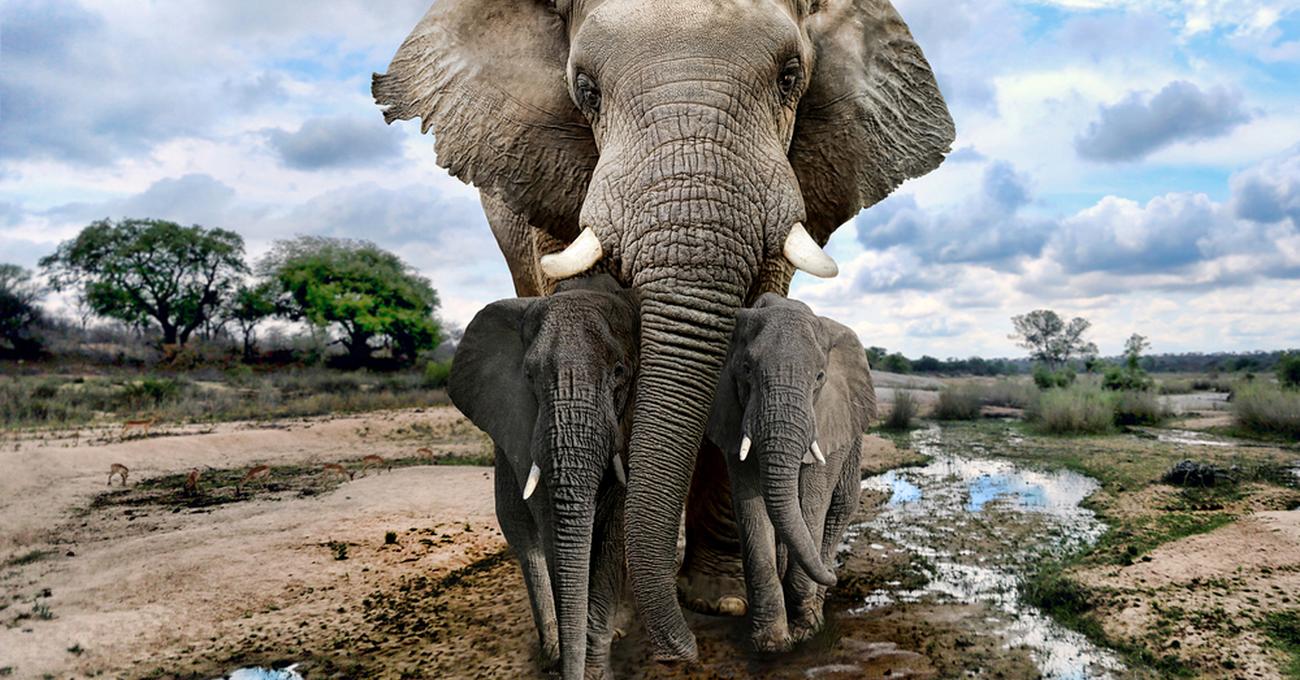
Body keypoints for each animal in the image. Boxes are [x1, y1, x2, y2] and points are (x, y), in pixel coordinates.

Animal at [448, 274, 637, 680]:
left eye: (619, 371)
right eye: (529, 375)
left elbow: (613, 524)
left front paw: (595, 667)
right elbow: (549, 520)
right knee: (522, 533)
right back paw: (551, 649)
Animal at [706, 293, 875, 651]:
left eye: (820, 377)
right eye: (746, 370)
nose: (836, 576)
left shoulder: (827, 418)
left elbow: (812, 502)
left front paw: (806, 630)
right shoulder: (732, 412)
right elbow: (751, 506)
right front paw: (771, 643)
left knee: (839, 507)